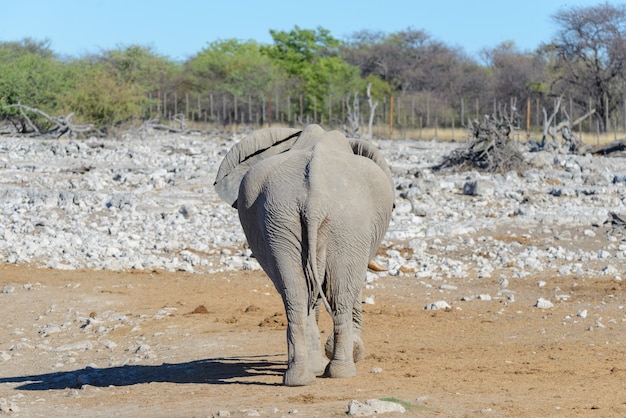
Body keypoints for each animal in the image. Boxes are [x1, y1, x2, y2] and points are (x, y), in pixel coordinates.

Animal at [212, 123, 392, 386]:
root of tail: (314, 199)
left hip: (284, 220)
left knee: (297, 294)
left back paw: (300, 379)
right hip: (341, 223)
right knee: (337, 295)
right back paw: (338, 371)